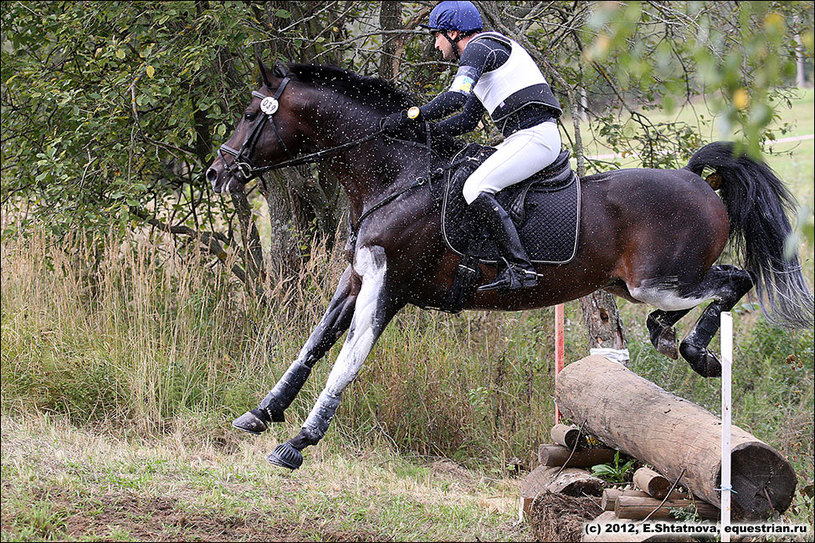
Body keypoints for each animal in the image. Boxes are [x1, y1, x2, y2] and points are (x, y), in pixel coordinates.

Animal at [207, 60, 812, 472]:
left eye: (249, 115)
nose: (217, 173)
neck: (396, 177)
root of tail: (694, 178)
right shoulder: (358, 280)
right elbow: (313, 346)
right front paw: (261, 414)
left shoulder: (390, 287)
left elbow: (345, 362)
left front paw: (297, 443)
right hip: (631, 286)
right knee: (705, 295)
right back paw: (670, 337)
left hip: (656, 282)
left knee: (733, 281)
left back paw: (693, 350)